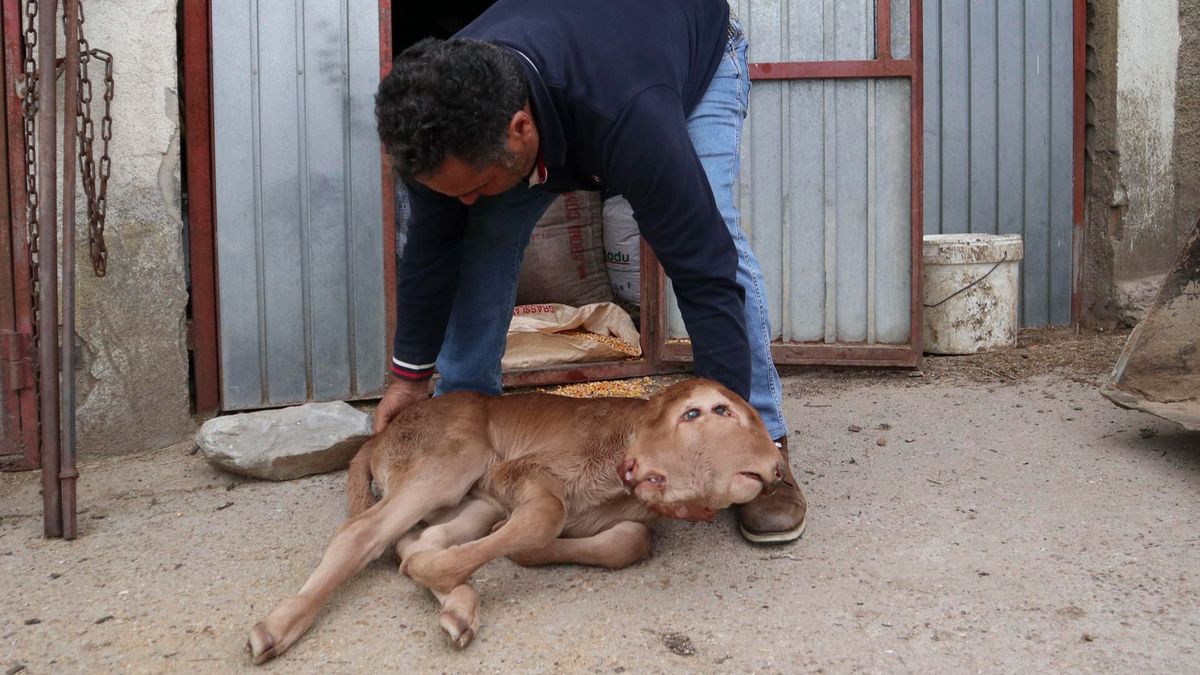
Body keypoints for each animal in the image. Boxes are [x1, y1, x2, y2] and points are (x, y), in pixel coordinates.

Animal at [246, 379, 787, 662]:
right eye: (701, 412)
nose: (774, 465)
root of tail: (381, 434)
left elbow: (630, 541)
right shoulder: (521, 471)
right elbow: (548, 515)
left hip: (471, 495)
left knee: (419, 538)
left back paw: (460, 606)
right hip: (453, 457)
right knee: (365, 532)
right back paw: (277, 626)